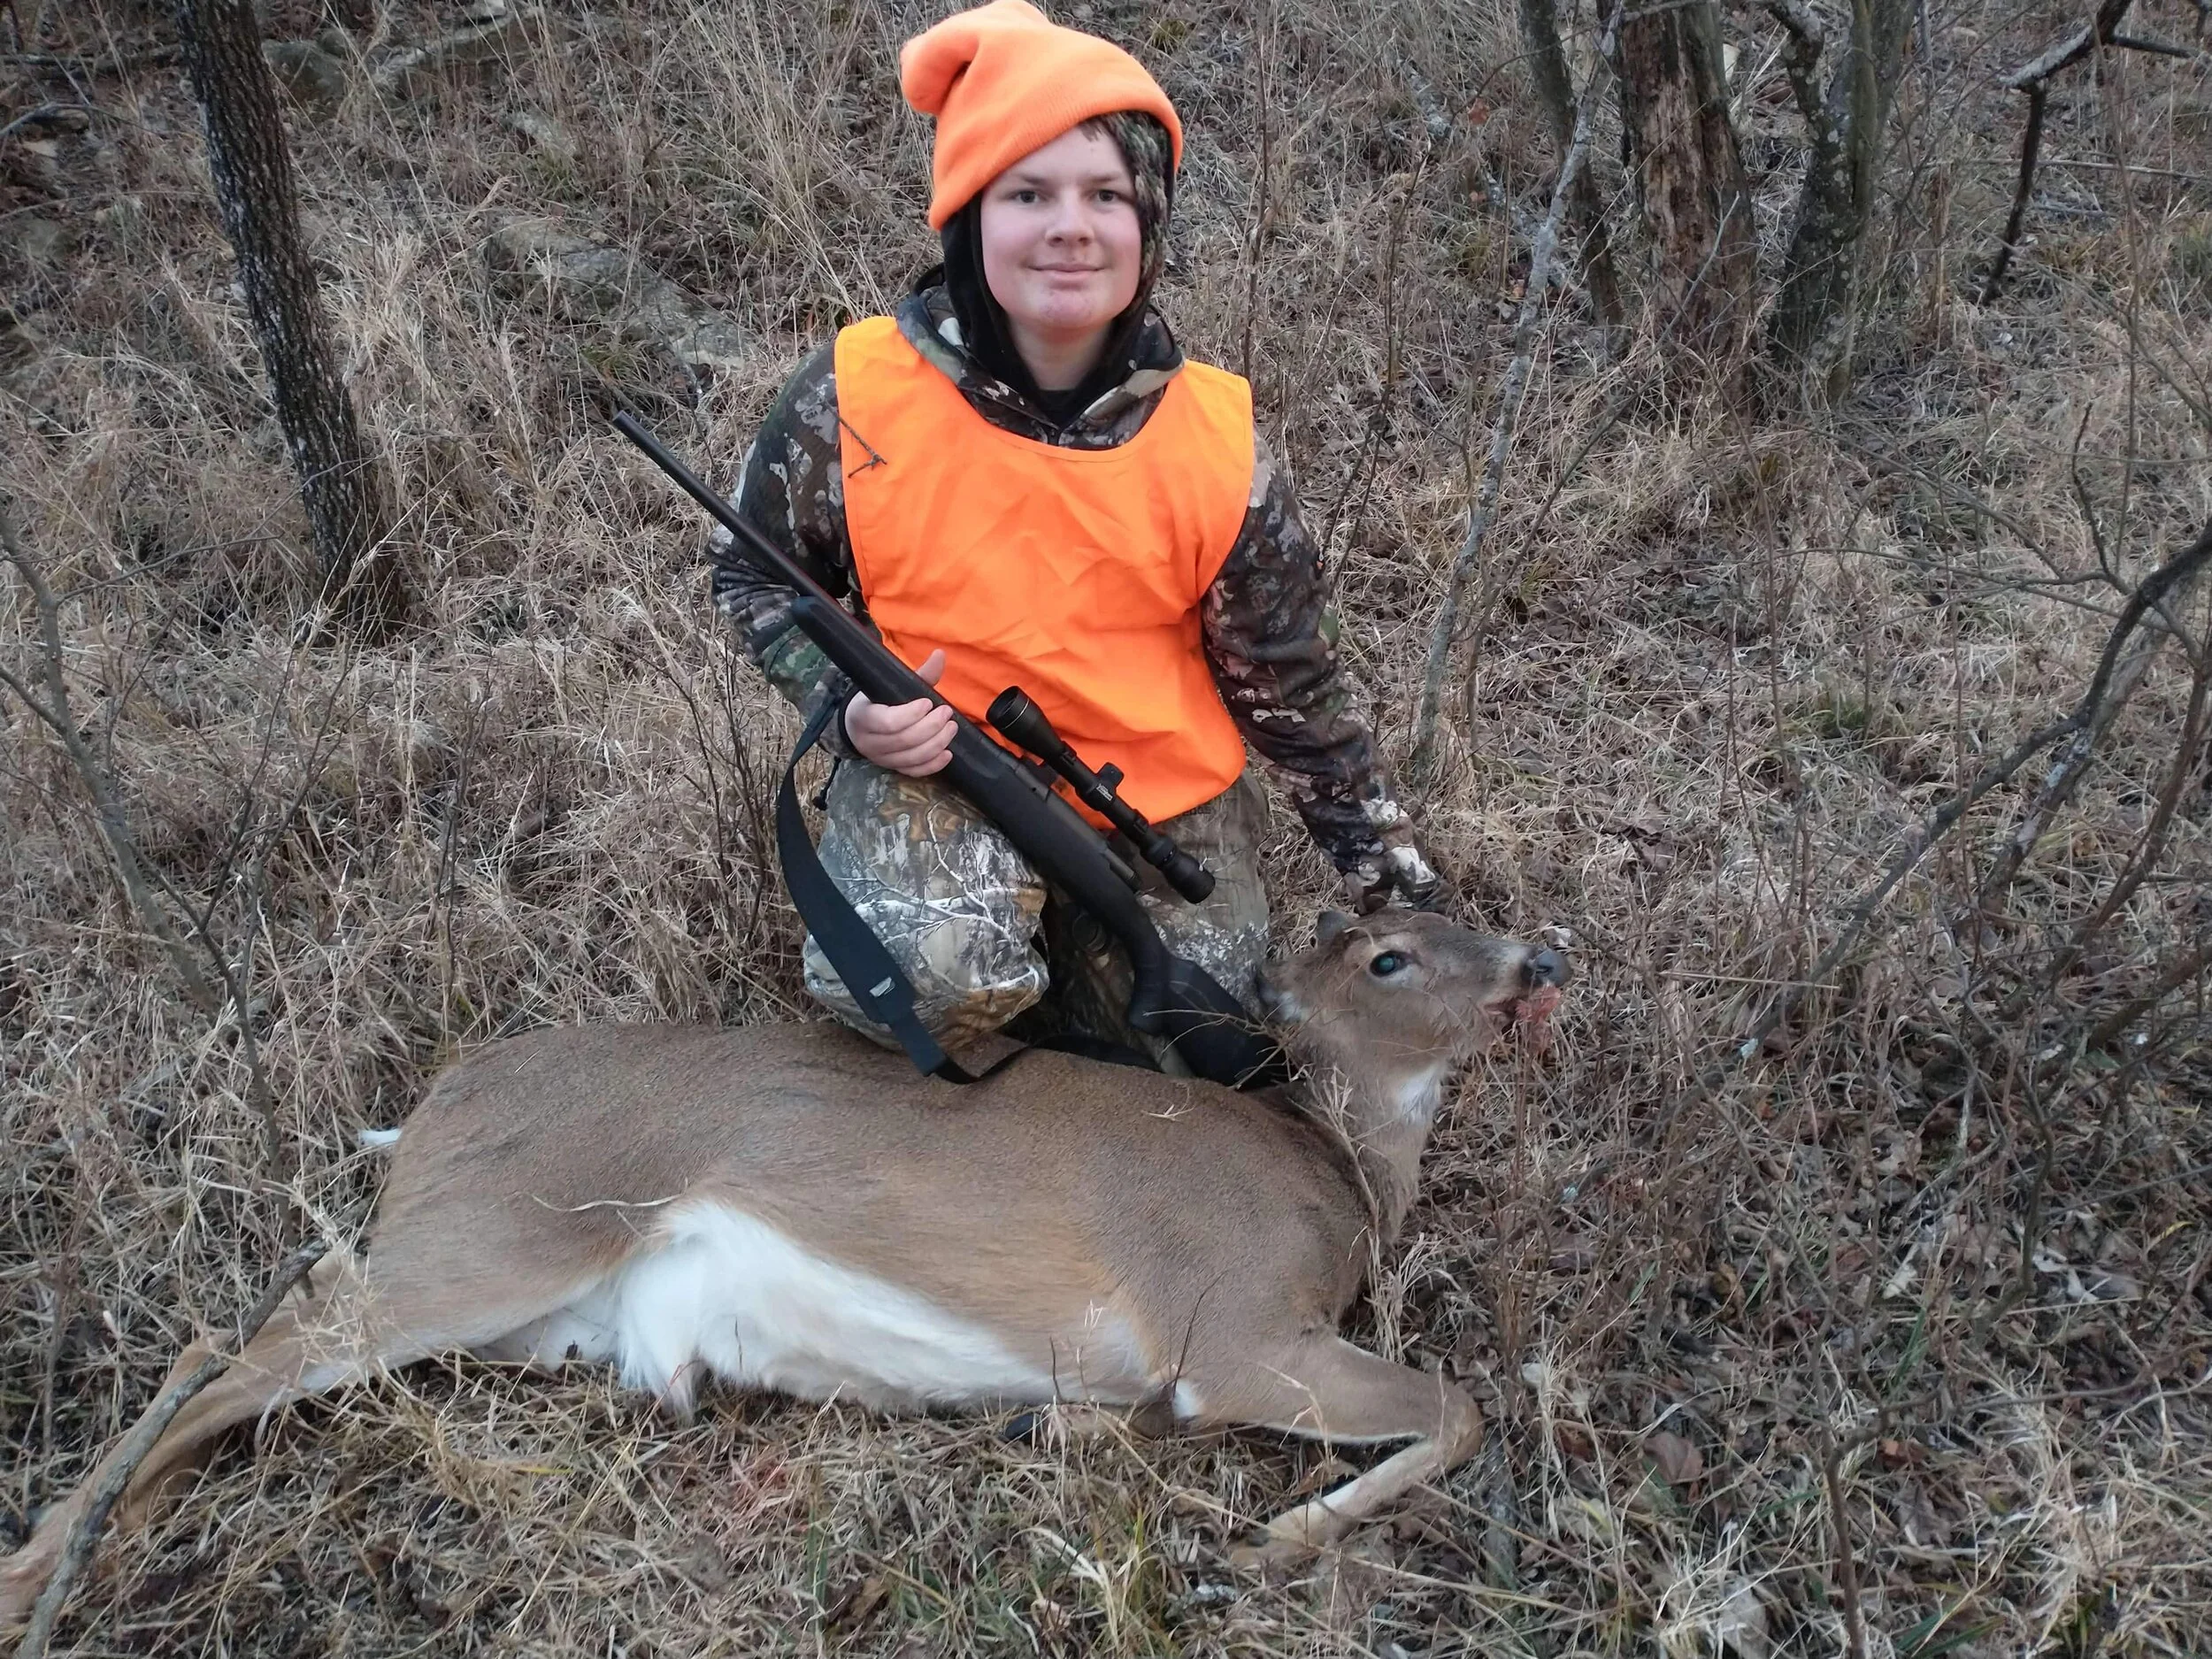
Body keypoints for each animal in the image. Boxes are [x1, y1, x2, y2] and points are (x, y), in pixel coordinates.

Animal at [0, 909, 1568, 1626]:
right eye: (1390, 951)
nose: (1536, 958)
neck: (1338, 1174)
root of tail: (433, 1099)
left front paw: (1061, 1428)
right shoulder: (1231, 1319)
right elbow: (1458, 1403)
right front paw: (1279, 1534)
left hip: (525, 1308)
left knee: (252, 1340)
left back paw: (97, 1542)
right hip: (494, 1229)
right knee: (234, 1340)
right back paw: (48, 1562)